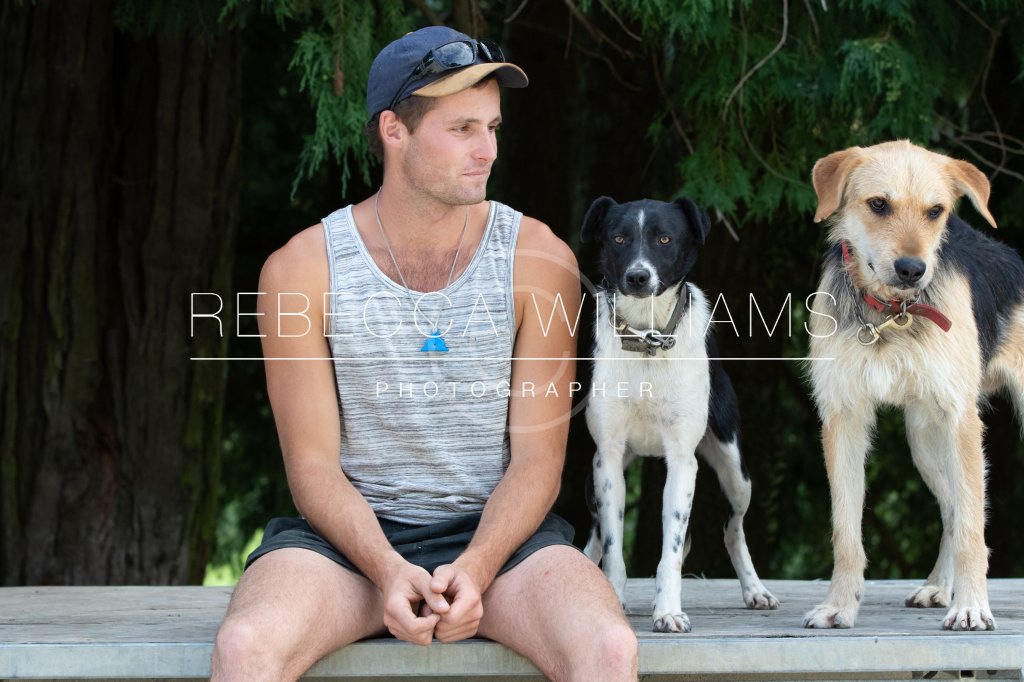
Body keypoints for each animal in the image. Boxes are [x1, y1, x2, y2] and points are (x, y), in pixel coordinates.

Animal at [580, 196, 779, 633]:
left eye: (664, 239)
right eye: (619, 238)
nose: (638, 277)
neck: (647, 340)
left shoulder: (683, 461)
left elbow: (670, 550)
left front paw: (668, 610)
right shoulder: (608, 459)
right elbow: (613, 547)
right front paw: (611, 599)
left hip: (735, 471)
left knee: (733, 531)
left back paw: (755, 590)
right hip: (592, 479)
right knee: (596, 532)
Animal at [804, 140, 1024, 631]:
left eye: (935, 211)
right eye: (878, 205)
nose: (912, 269)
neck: (893, 312)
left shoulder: (961, 417)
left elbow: (972, 532)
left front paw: (972, 606)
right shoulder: (843, 417)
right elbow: (846, 533)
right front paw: (839, 606)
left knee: (965, 515)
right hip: (925, 441)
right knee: (952, 512)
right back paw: (940, 587)